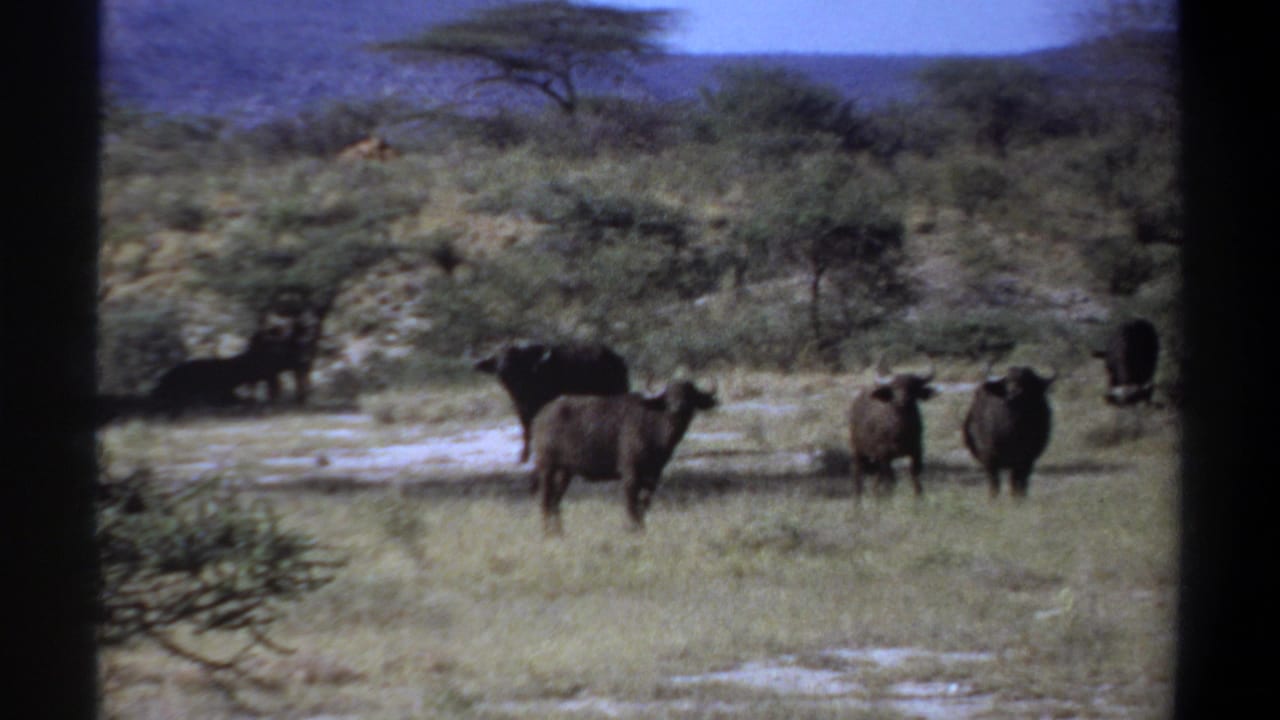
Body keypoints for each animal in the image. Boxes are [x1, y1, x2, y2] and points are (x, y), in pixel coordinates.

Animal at [474, 342, 630, 463]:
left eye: (515, 359)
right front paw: (524, 456)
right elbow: (526, 431)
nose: (502, 370)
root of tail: (616, 359)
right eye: (497, 359)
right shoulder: (522, 409)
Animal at [529, 380, 717, 536]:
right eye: (669, 395)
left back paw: (559, 532)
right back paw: (547, 532)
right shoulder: (630, 474)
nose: (678, 407)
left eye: (689, 394)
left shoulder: (653, 476)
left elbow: (644, 504)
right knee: (545, 500)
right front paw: (631, 530)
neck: (654, 426)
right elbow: (631, 505)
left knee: (555, 501)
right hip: (547, 468)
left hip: (565, 472)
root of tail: (541, 415)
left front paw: (641, 529)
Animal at [848, 366, 937, 498]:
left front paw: (918, 498)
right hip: (858, 452)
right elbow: (890, 480)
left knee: (876, 481)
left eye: (912, 387)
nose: (903, 399)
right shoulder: (884, 455)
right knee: (858, 478)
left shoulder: (917, 451)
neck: (901, 431)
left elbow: (915, 477)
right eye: (894, 387)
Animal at [962, 365, 1056, 498]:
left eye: (1028, 381)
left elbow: (1017, 485)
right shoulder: (990, 460)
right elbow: (994, 486)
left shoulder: (1026, 460)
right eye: (1007, 381)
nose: (1014, 393)